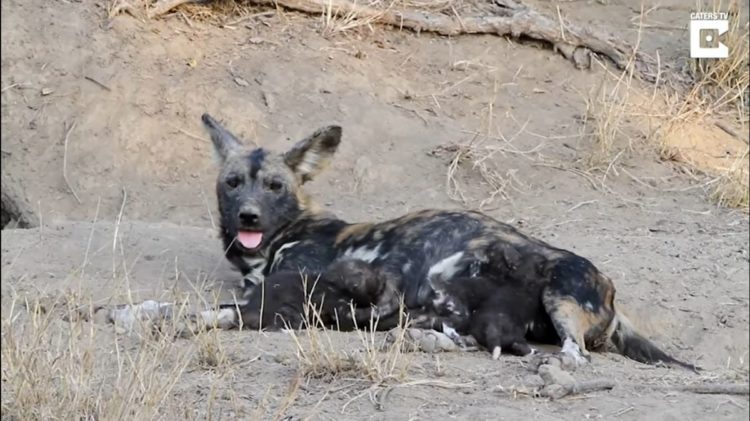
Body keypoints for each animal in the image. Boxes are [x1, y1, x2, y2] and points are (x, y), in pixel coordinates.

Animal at [125, 113, 700, 370]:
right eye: (232, 183)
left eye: (273, 187)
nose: (247, 214)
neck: (284, 234)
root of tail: (613, 296)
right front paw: (136, 311)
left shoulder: (280, 293)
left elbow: (200, 311)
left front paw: (148, 318)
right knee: (460, 333)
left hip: (552, 296)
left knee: (574, 353)